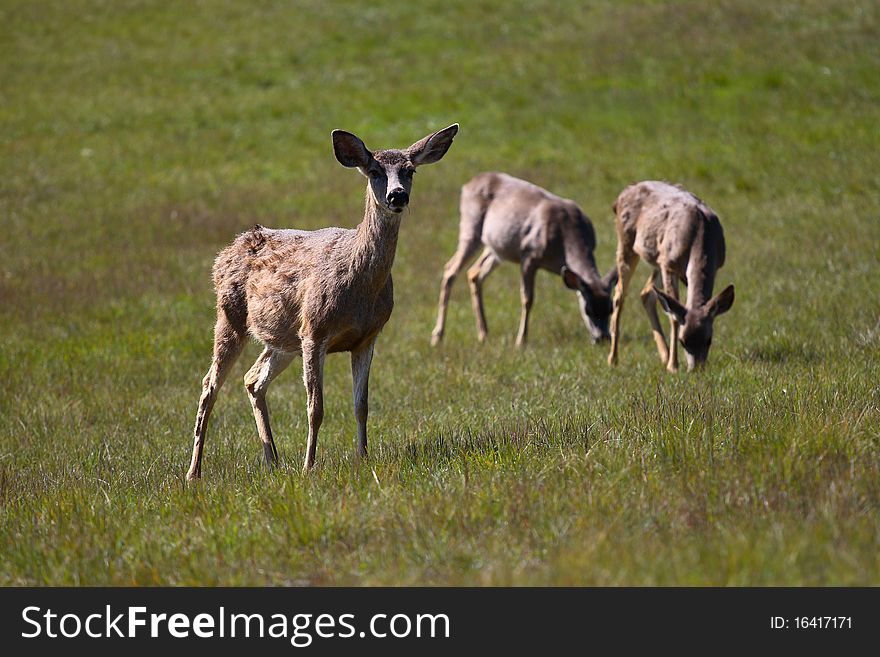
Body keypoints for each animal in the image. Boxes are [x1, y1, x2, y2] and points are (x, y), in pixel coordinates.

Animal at [186, 121, 460, 476]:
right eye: (374, 171)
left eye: (410, 170)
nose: (397, 195)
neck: (360, 291)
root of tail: (226, 252)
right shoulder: (315, 331)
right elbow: (315, 407)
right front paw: (308, 467)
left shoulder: (367, 337)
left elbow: (361, 405)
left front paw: (362, 458)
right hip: (230, 316)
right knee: (209, 384)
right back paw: (194, 472)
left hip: (284, 338)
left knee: (253, 379)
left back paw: (273, 460)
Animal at [430, 173, 616, 348]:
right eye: (587, 310)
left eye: (611, 308)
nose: (603, 338)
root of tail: (469, 183)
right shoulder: (529, 254)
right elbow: (527, 299)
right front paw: (520, 342)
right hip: (470, 227)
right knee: (450, 269)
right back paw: (437, 336)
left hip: (496, 247)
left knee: (474, 272)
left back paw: (483, 334)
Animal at [604, 181, 736, 374]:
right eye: (682, 341)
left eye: (709, 340)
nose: (696, 369)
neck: (700, 235)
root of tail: (621, 196)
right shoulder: (669, 265)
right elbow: (674, 317)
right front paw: (673, 366)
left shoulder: (712, 266)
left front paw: (670, 361)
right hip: (627, 242)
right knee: (619, 295)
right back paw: (613, 359)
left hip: (658, 258)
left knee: (646, 293)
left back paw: (664, 354)